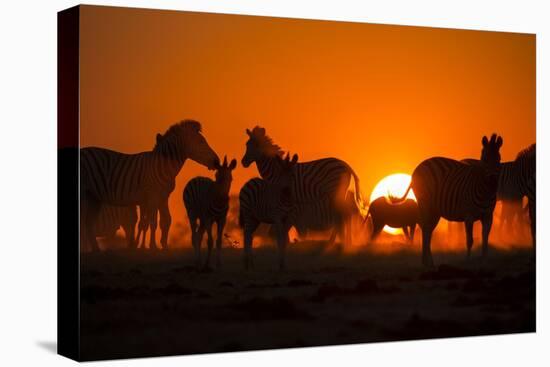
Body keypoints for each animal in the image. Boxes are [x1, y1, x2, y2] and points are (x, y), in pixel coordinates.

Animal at [81, 121, 219, 253]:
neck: (162, 165)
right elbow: (153, 222)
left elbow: (166, 220)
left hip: (94, 197)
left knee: (88, 223)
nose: (217, 162)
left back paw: (96, 250)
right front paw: (153, 246)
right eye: (201, 142)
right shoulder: (152, 196)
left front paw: (164, 246)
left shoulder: (163, 197)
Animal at [392, 135, 504, 268]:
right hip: (425, 204)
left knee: (428, 231)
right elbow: (469, 240)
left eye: (499, 159)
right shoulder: (469, 216)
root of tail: (420, 166)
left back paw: (430, 263)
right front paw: (468, 262)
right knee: (425, 230)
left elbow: (485, 239)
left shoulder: (488, 216)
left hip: (435, 210)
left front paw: (484, 263)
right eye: (485, 159)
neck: (484, 191)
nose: (493, 183)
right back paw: (425, 262)